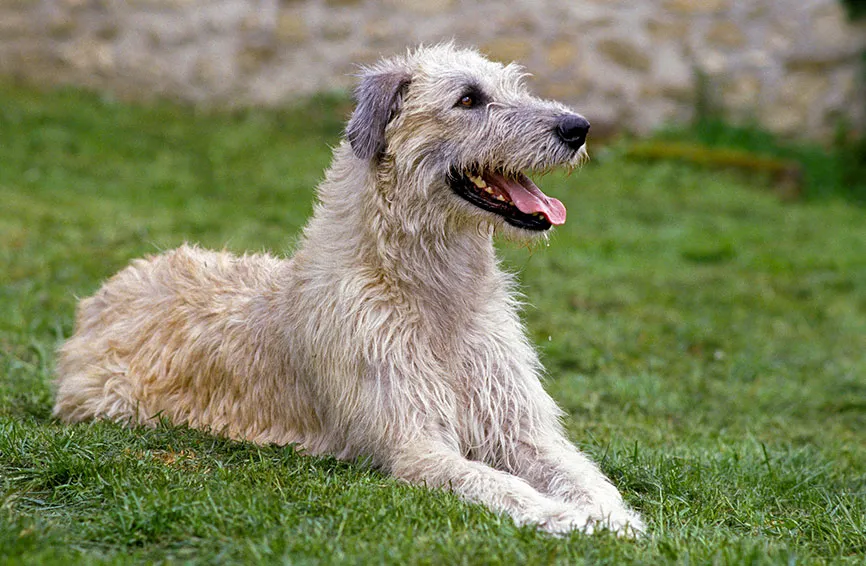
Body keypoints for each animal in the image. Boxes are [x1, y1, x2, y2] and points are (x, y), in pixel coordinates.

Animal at [54, 43, 640, 536]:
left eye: (515, 86)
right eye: (469, 98)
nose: (578, 127)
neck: (433, 295)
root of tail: (109, 289)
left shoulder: (521, 429)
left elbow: (581, 471)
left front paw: (611, 515)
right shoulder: (415, 445)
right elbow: (493, 481)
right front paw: (565, 518)